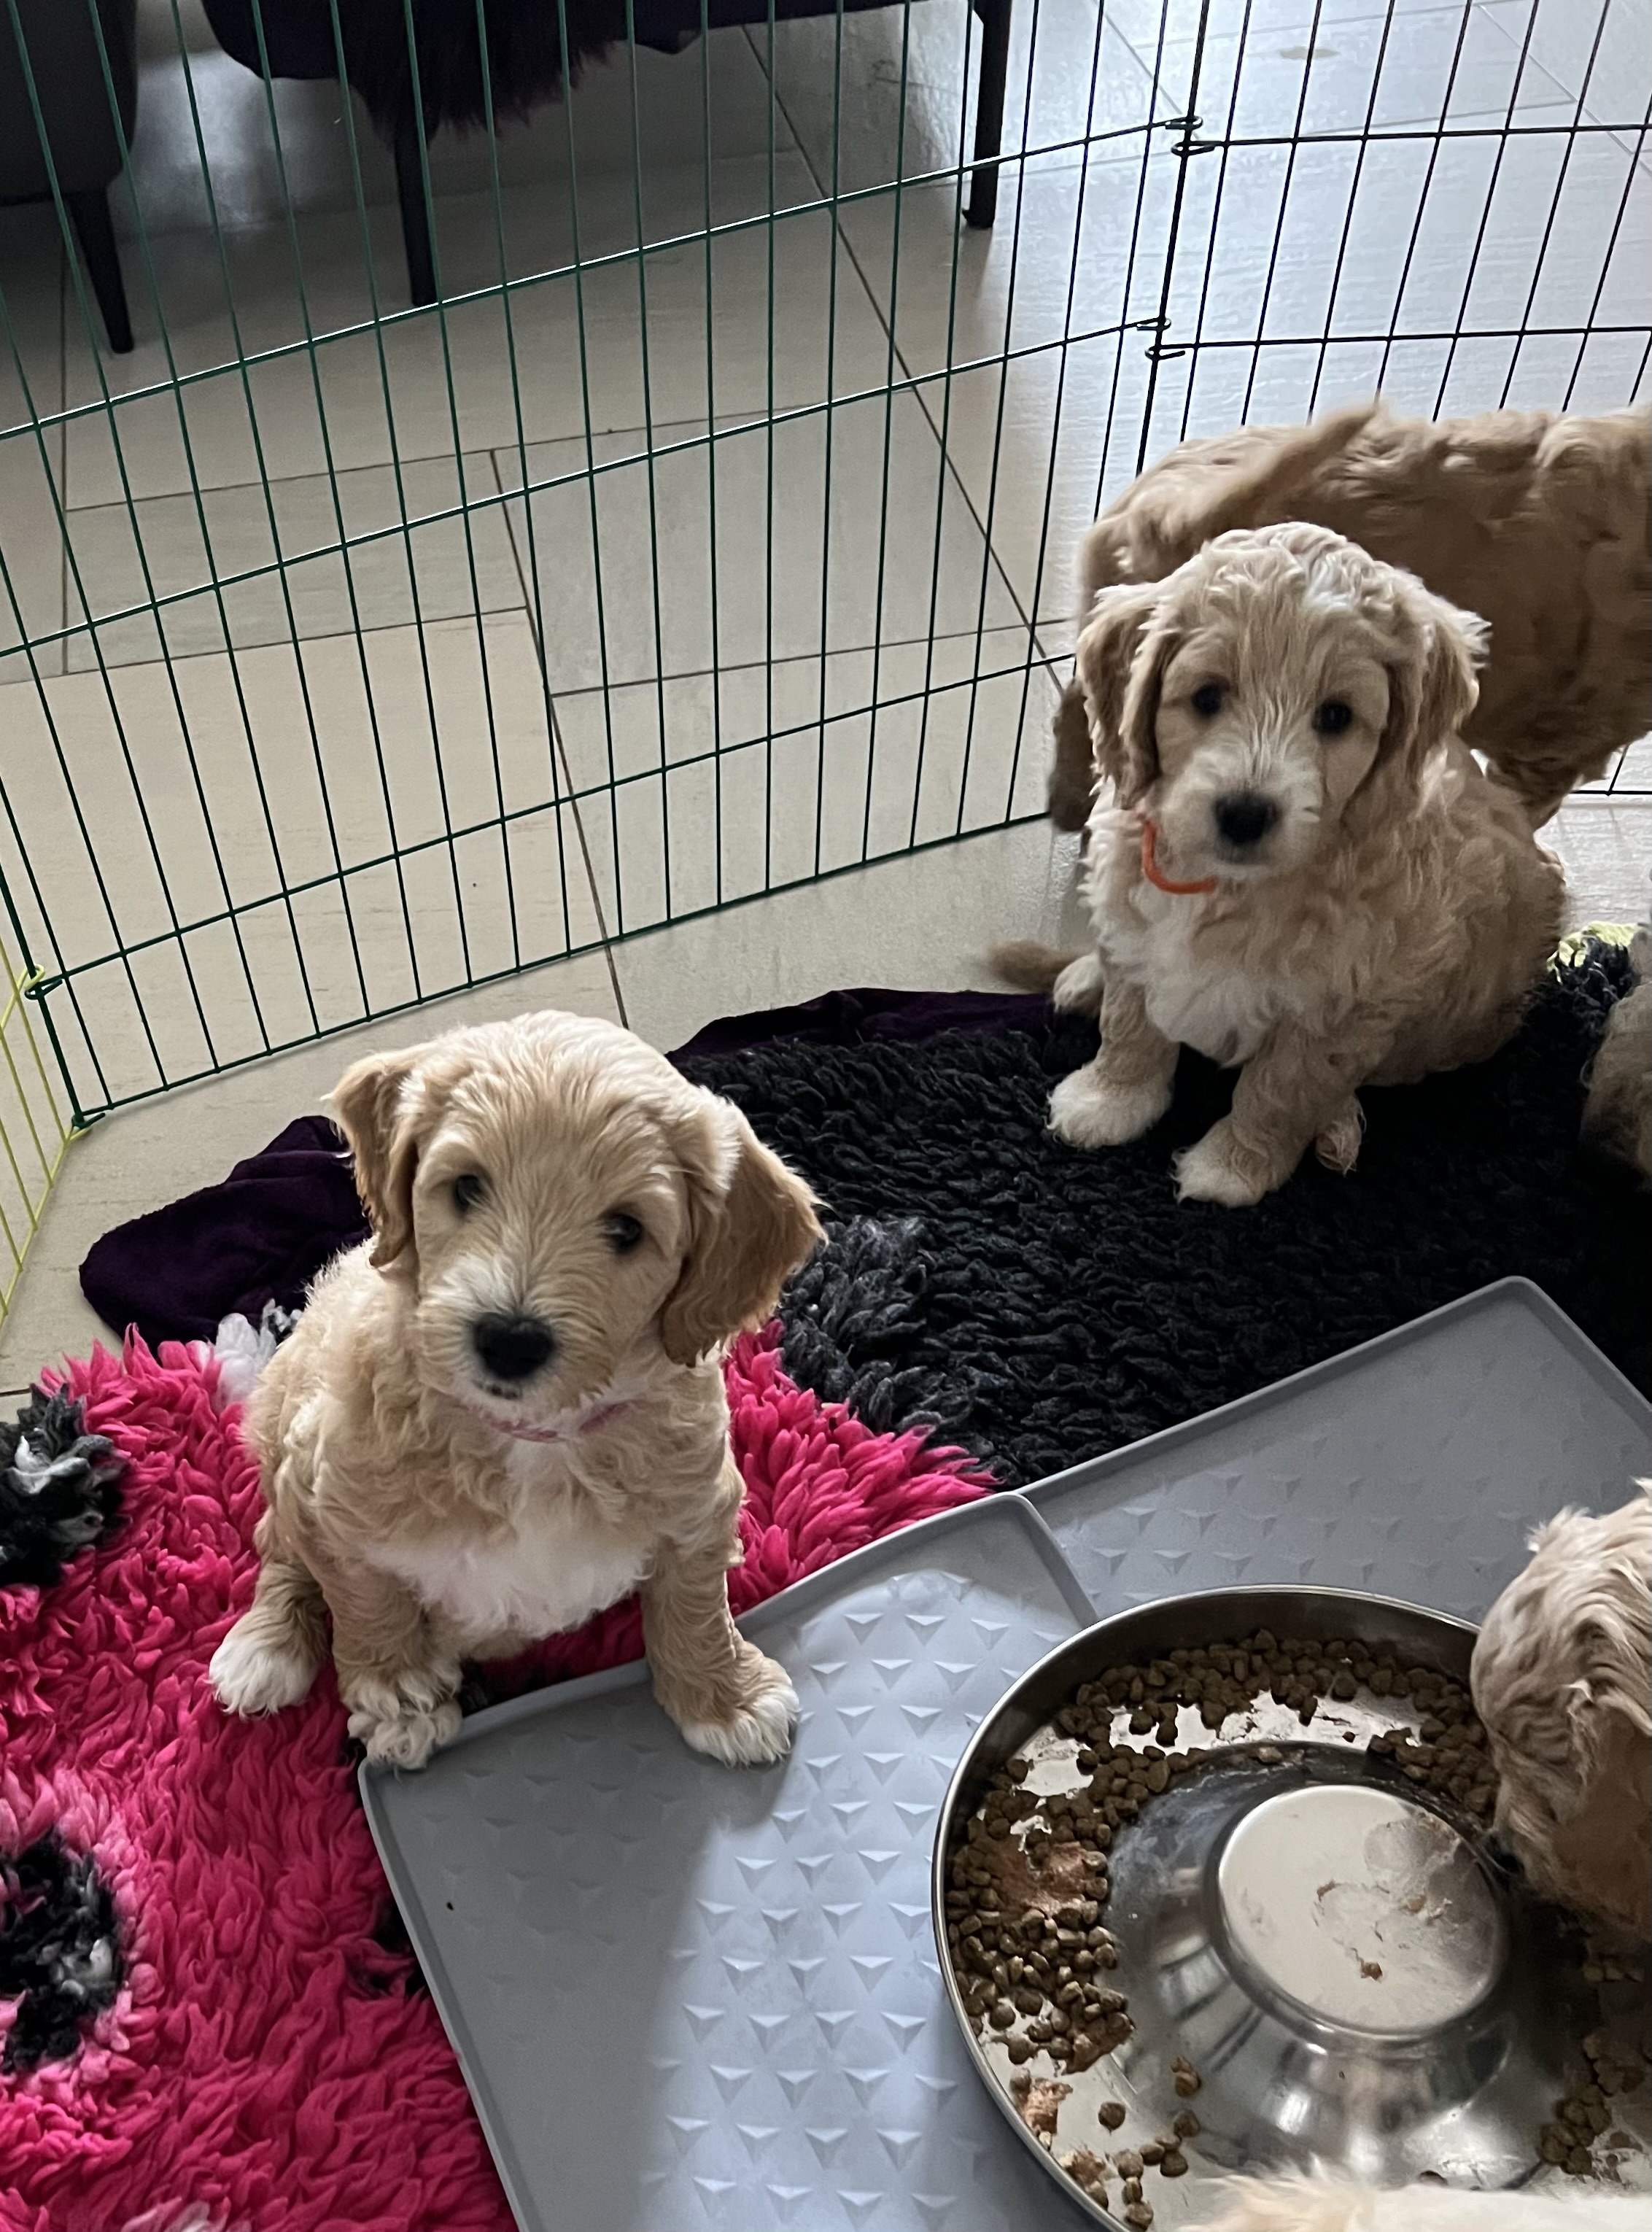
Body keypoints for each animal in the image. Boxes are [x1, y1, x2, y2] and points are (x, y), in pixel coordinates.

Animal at [209, 1009, 821, 1759]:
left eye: (627, 1228)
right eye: (467, 1187)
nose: (509, 1339)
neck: (534, 1438)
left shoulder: (700, 1503)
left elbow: (695, 1602)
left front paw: (725, 1698)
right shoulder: (323, 1494)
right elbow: (363, 1595)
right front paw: (399, 1692)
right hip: (278, 1434)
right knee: (277, 1549)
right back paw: (267, 1648)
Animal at [1040, 519, 1571, 1205]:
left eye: (1336, 716)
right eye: (1206, 698)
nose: (1244, 813)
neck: (1228, 886)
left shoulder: (1344, 1001)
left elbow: (1283, 1088)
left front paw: (1233, 1168)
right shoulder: (1133, 916)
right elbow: (1129, 1022)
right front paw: (1108, 1101)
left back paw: (1337, 1127)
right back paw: (1085, 977)